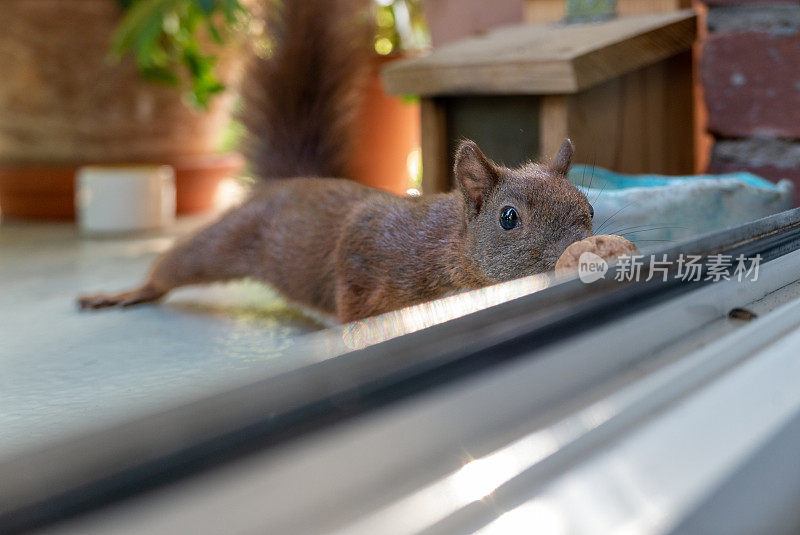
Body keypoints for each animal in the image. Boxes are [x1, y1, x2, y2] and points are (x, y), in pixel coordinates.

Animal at [78, 0, 592, 322]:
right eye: (508, 218)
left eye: (589, 209)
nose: (580, 246)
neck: (453, 247)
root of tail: (292, 182)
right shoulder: (367, 254)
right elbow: (354, 301)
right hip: (231, 235)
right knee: (183, 260)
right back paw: (131, 291)